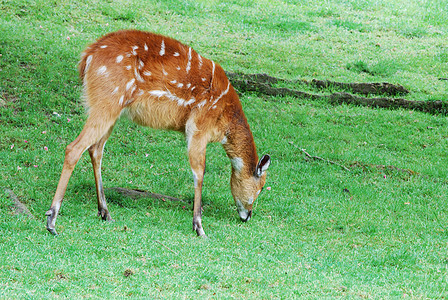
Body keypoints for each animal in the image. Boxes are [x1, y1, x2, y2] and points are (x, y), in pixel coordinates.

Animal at [45, 29, 272, 237]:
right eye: (260, 187)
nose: (248, 215)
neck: (225, 119)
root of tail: (87, 57)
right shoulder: (198, 126)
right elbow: (199, 172)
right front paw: (199, 227)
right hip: (107, 101)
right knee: (74, 148)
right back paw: (52, 220)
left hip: (112, 111)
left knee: (96, 149)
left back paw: (105, 212)